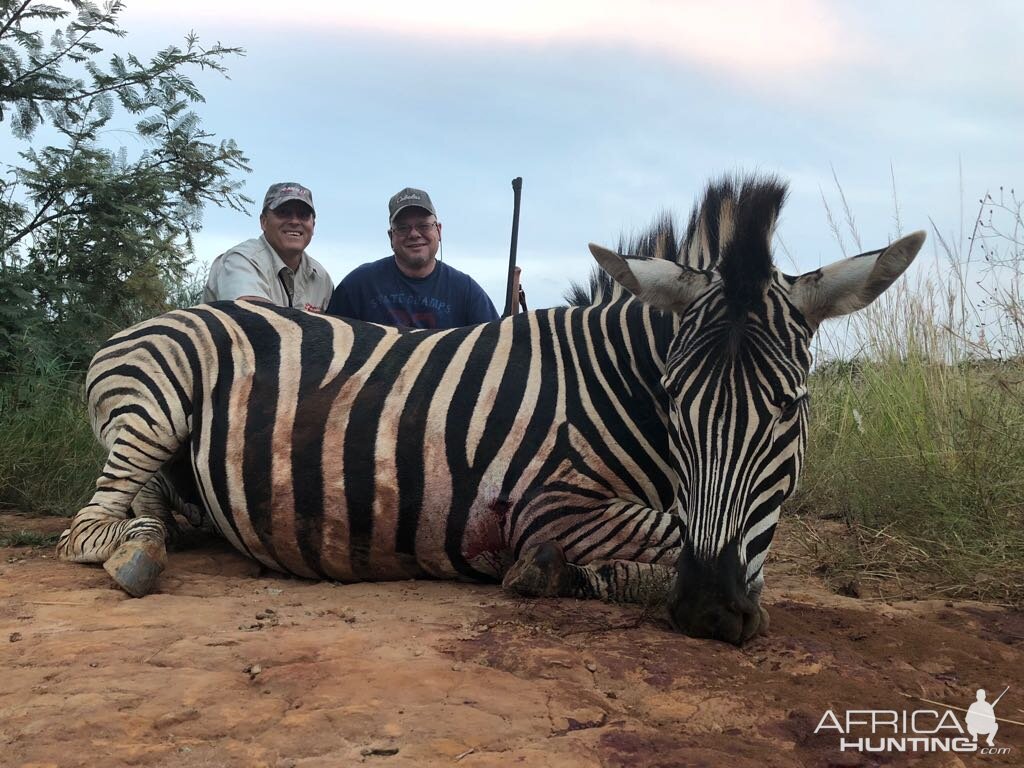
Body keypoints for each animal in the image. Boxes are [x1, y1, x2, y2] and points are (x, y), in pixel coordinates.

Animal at [54, 177, 921, 647]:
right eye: (674, 402)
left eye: (789, 408)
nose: (710, 612)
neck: (615, 384)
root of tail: (156, 319)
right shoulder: (551, 500)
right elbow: (664, 534)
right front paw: (556, 570)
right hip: (154, 404)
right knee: (87, 531)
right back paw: (137, 555)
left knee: (139, 506)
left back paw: (154, 534)